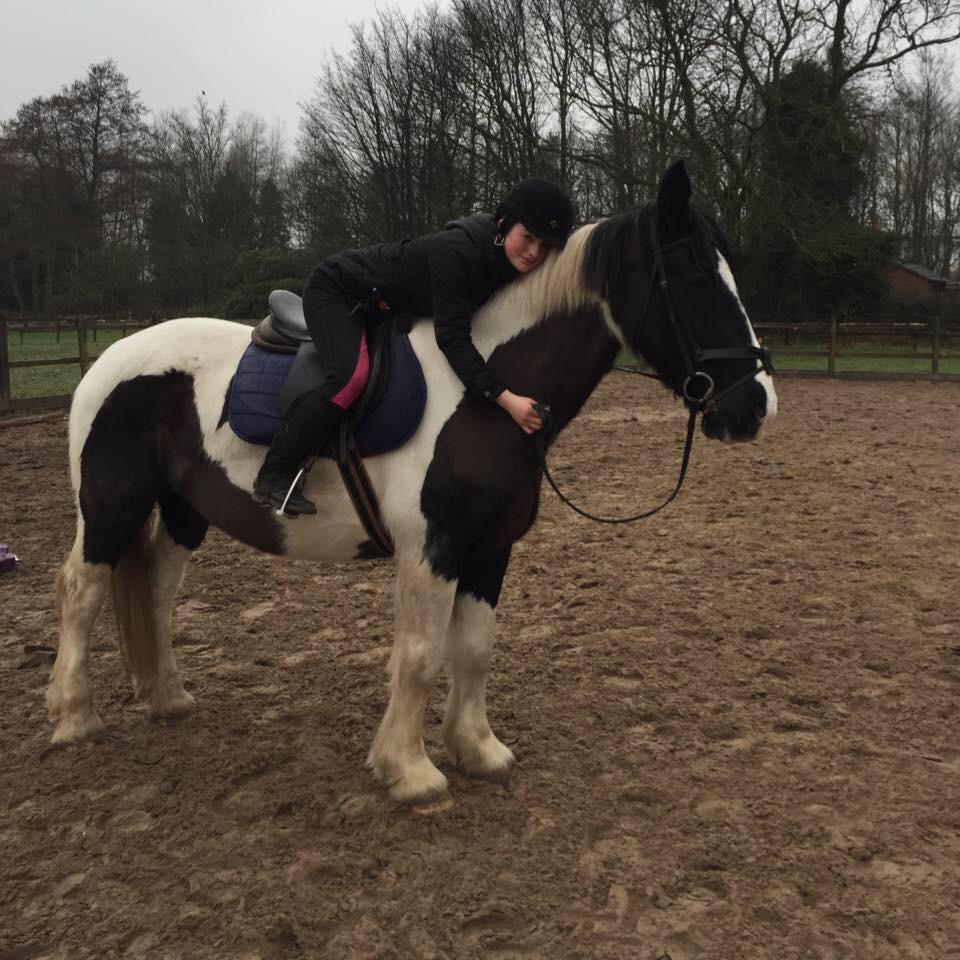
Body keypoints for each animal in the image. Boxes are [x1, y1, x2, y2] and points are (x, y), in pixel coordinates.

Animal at [47, 161, 777, 805]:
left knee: (157, 591)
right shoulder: (432, 550)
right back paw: (75, 716)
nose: (755, 405)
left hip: (182, 510)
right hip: (110, 505)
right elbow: (421, 655)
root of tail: (112, 357)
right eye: (692, 276)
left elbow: (474, 649)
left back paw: (168, 698)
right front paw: (410, 771)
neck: (483, 391)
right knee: (82, 588)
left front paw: (478, 750)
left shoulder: (490, 549)